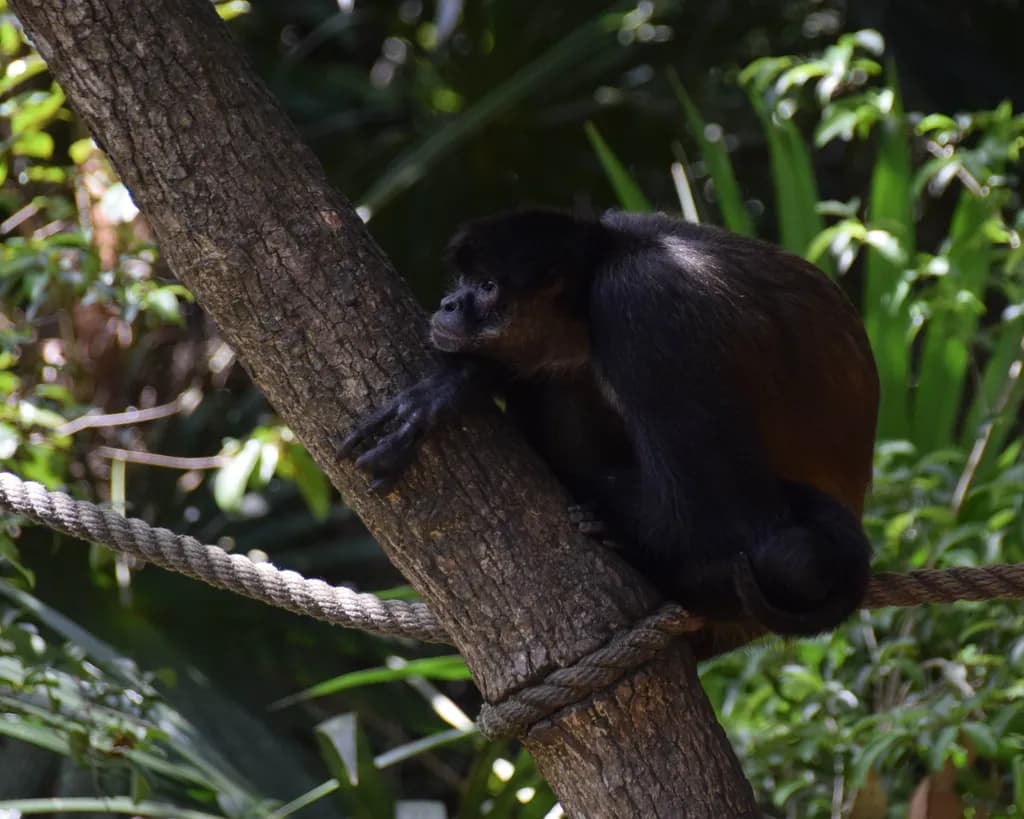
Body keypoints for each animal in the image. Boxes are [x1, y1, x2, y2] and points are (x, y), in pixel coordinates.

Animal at [338, 208, 879, 636]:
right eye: (463, 282)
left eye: (487, 287)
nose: (450, 305)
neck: (610, 258)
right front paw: (458, 383)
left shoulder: (640, 304)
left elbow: (717, 514)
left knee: (788, 553)